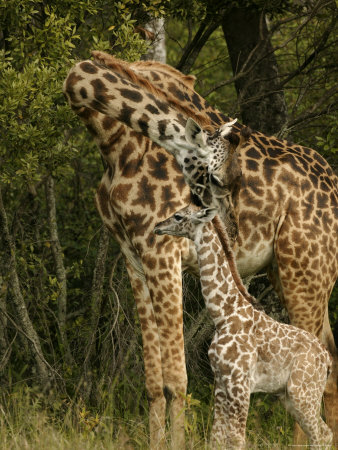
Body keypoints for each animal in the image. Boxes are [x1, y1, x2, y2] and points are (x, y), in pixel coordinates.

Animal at [154, 206, 332, 448]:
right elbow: (216, 437)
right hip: (290, 395)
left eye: (178, 216)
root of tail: (327, 360)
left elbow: (237, 439)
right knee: (324, 433)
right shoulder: (221, 382)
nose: (157, 226)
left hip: (303, 392)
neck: (223, 314)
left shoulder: (240, 384)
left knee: (320, 435)